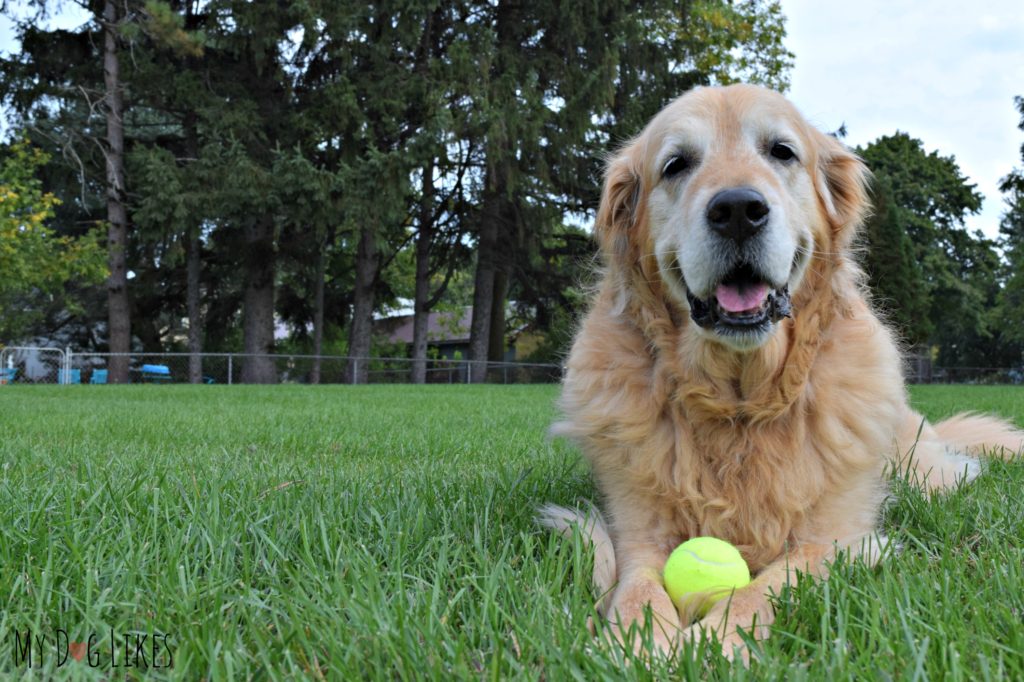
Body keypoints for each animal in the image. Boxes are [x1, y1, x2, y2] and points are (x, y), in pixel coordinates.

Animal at [540, 83, 1019, 659]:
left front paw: (711, 642)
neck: (741, 401)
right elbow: (638, 588)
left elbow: (766, 586)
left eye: (782, 152)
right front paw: (643, 645)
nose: (737, 210)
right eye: (676, 164)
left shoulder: (831, 537)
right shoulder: (638, 529)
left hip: (925, 474)